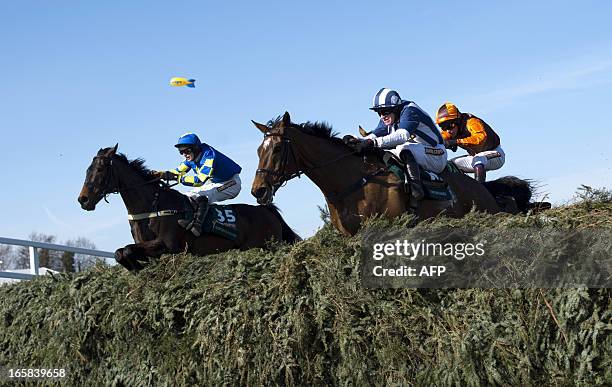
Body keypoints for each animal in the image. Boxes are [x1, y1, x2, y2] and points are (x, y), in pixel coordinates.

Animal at [76, 144, 302, 272]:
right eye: (87, 170)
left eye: (100, 169)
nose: (83, 200)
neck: (153, 206)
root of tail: (266, 210)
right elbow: (120, 252)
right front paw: (137, 268)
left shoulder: (169, 246)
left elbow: (128, 250)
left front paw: (137, 268)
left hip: (265, 245)